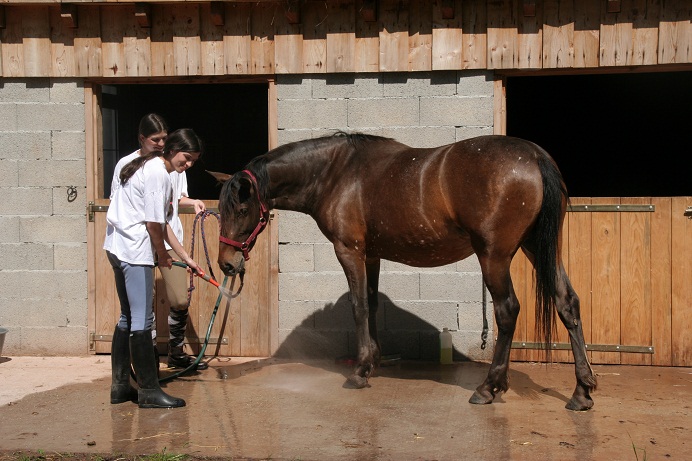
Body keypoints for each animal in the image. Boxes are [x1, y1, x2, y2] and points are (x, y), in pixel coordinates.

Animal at [211, 132, 596, 410]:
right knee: (567, 303)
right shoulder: (371, 255)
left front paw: (359, 372)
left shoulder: (349, 250)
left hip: (495, 256)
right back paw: (582, 392)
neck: (336, 173)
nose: (227, 264)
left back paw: (488, 388)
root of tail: (535, 155)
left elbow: (358, 306)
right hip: (537, 248)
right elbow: (371, 304)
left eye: (241, 208)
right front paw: (373, 362)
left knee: (507, 311)